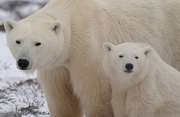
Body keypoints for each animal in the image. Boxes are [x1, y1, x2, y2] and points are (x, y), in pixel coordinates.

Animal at [3, 0, 180, 116]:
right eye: (18, 41)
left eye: (38, 43)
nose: (23, 62)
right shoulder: (56, 65)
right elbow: (61, 98)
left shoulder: (87, 46)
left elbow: (96, 93)